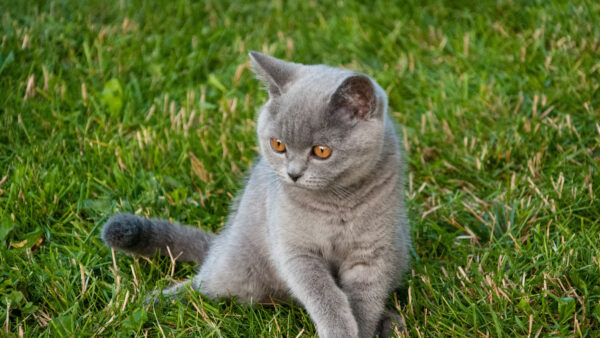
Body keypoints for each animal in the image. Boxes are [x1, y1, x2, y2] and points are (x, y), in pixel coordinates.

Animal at [103, 51, 412, 336]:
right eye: (278, 145)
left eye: (322, 151)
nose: (293, 173)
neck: (337, 203)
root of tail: (222, 240)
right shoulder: (295, 250)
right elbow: (324, 296)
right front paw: (340, 331)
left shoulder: (373, 254)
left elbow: (364, 301)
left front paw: (365, 328)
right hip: (239, 265)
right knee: (205, 284)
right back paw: (156, 302)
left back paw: (391, 322)